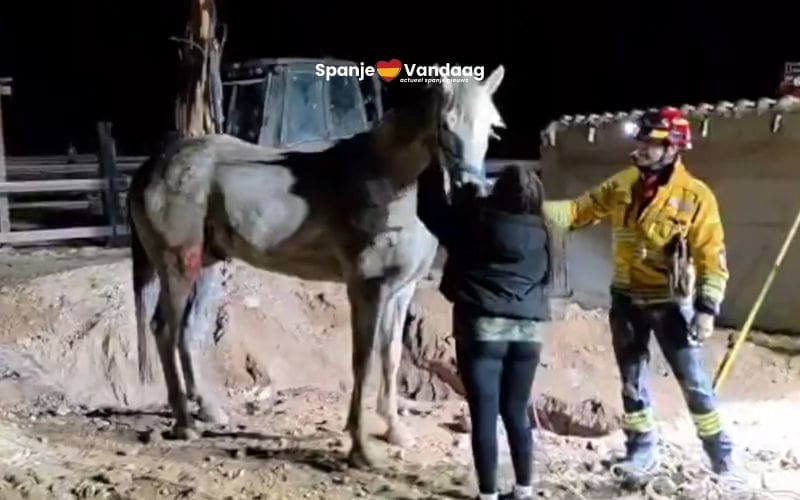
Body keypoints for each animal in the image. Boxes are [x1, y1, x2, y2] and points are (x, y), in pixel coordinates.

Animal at [127, 65, 506, 468]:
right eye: (446, 123)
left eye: (492, 128)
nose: (470, 188)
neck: (386, 182)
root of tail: (155, 164)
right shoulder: (367, 289)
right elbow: (363, 362)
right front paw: (361, 449)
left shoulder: (401, 291)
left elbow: (391, 356)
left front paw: (396, 432)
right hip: (177, 266)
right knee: (164, 329)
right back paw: (184, 422)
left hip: (207, 266)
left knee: (188, 330)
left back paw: (209, 411)